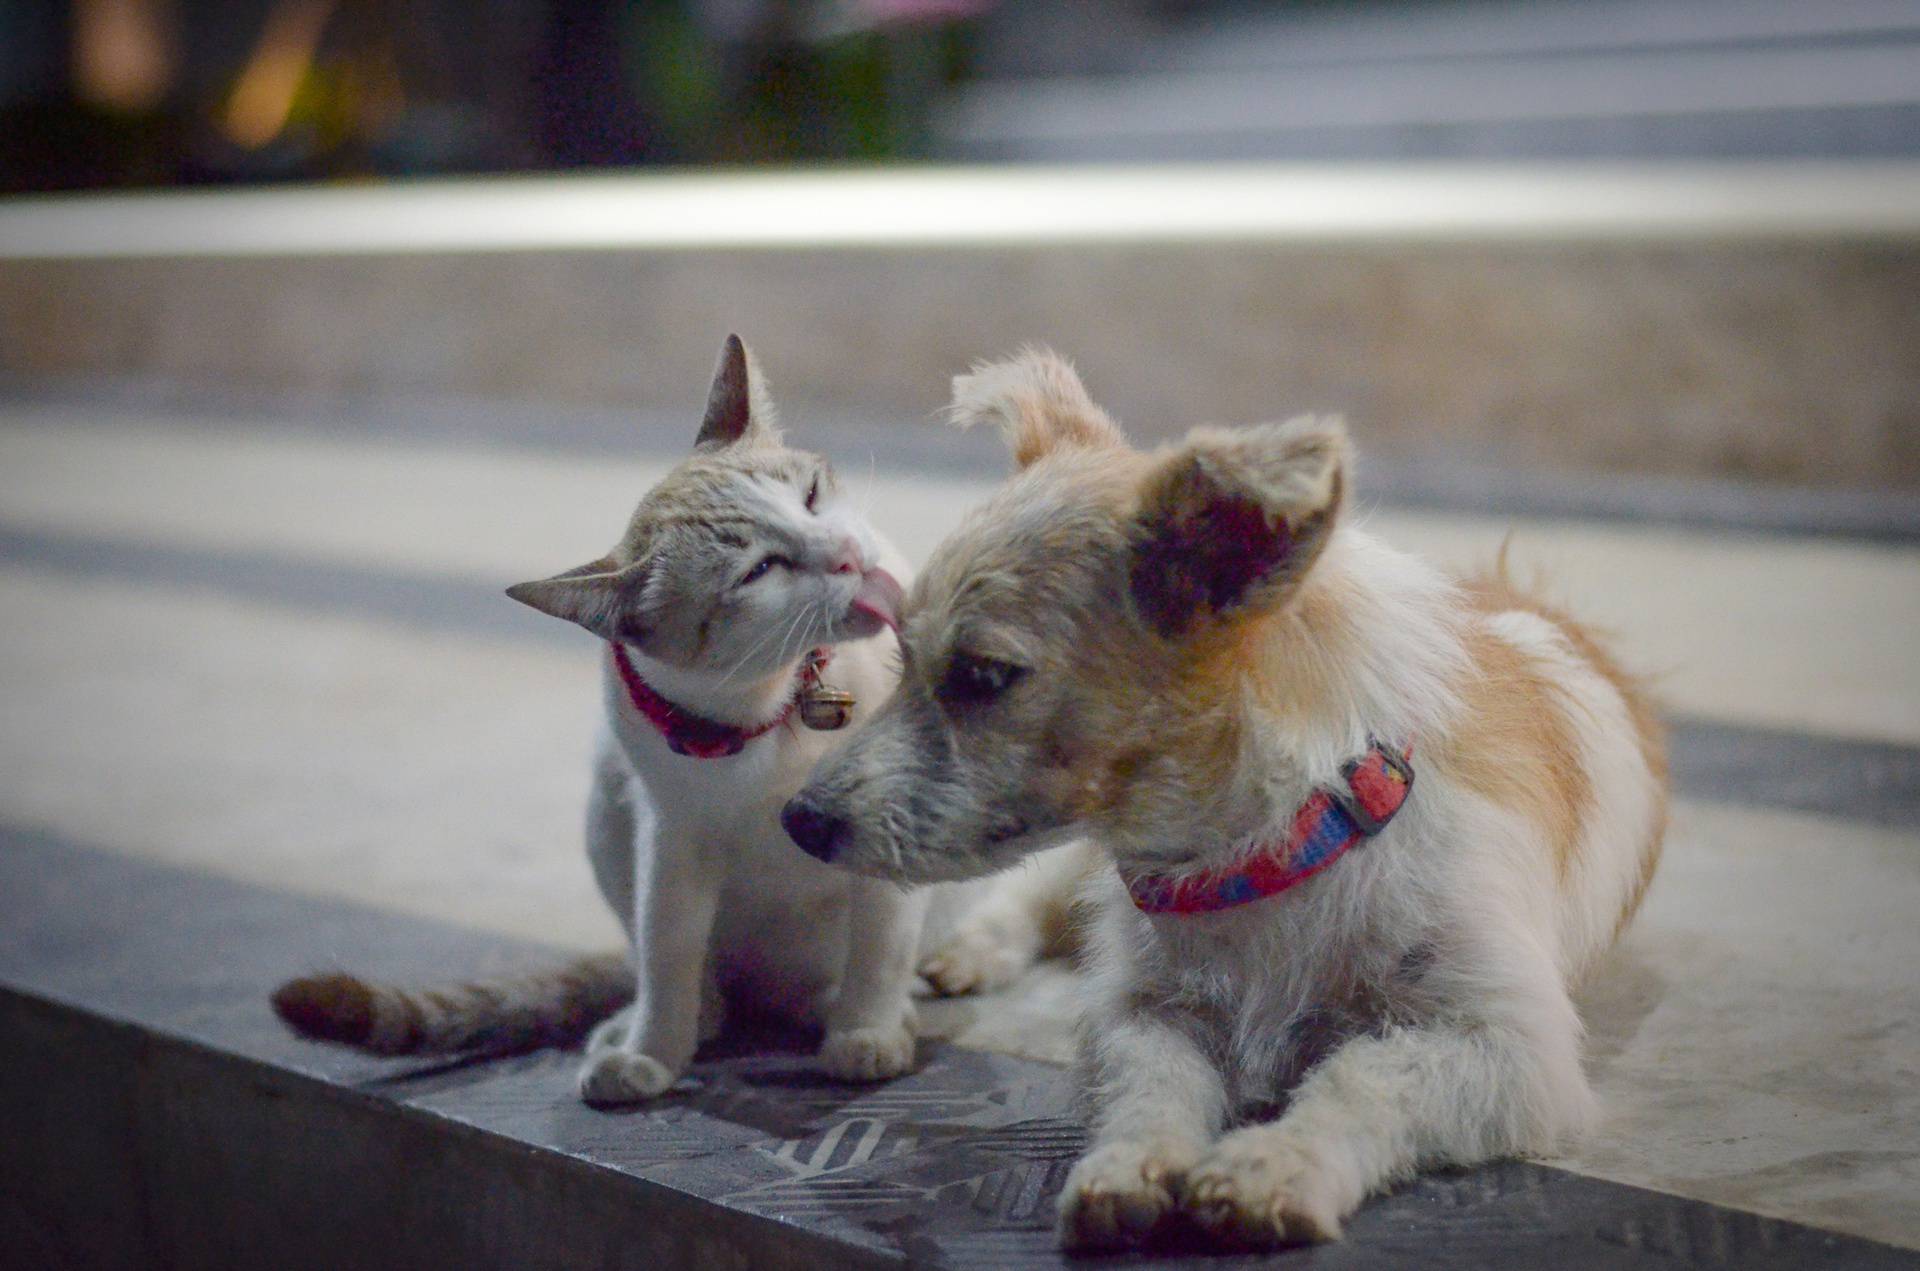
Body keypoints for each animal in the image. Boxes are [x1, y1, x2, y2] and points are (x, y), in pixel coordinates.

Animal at [274, 337, 1082, 1105]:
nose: (850, 554)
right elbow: (667, 958)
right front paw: (653, 1056)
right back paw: (654, 1025)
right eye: (761, 570)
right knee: (703, 985)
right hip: (608, 821)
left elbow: (878, 952)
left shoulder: (881, 822)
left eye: (812, 495)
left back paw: (899, 993)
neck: (772, 706)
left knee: (910, 951)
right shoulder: (671, 840)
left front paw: (865, 1037)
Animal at [779, 351, 1666, 1251]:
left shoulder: (1507, 1049)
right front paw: (1128, 1165)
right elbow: (1152, 1088)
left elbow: (1363, 1078)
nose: (799, 820)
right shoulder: (1141, 1012)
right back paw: (975, 949)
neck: (1280, 843)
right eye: (900, 655)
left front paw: (1274, 1163)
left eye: (984, 675)